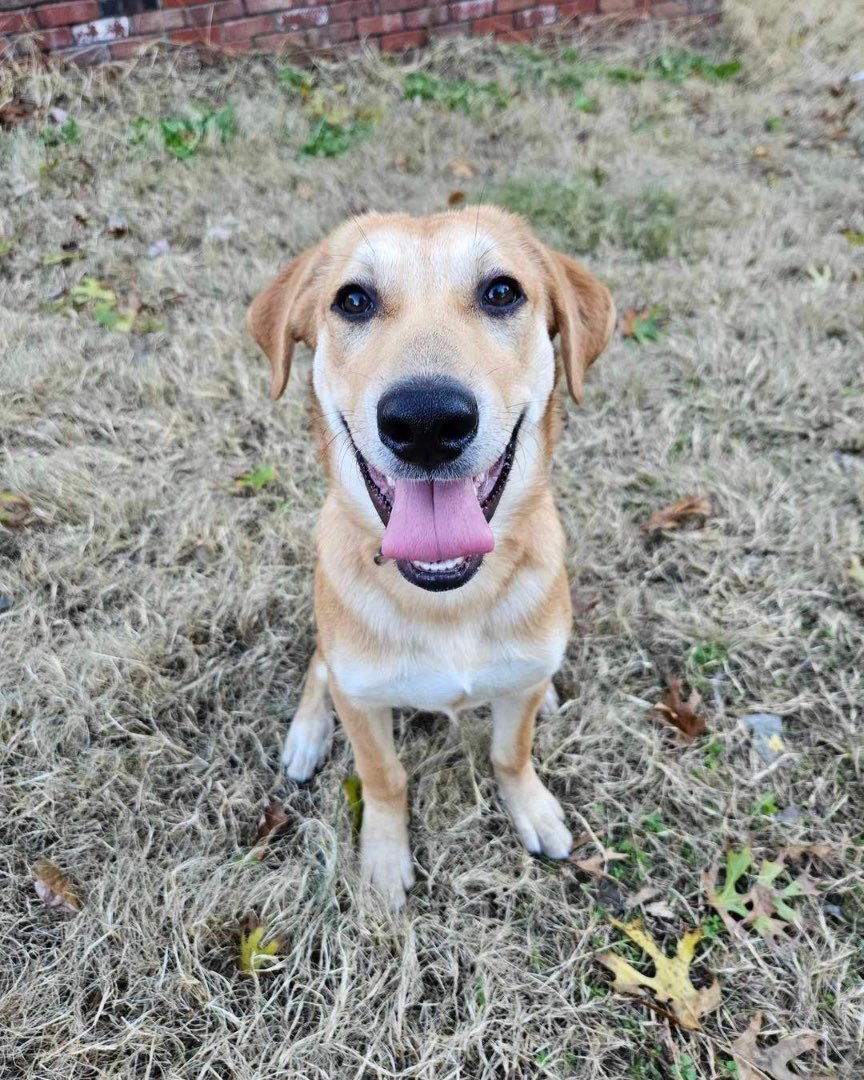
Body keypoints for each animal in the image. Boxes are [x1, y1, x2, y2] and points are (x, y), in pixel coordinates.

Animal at [248, 206, 613, 907]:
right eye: (353, 300)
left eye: (501, 291)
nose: (425, 421)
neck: (449, 600)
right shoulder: (364, 704)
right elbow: (383, 775)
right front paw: (385, 856)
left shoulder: (516, 698)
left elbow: (511, 752)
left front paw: (531, 806)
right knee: (319, 668)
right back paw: (308, 734)